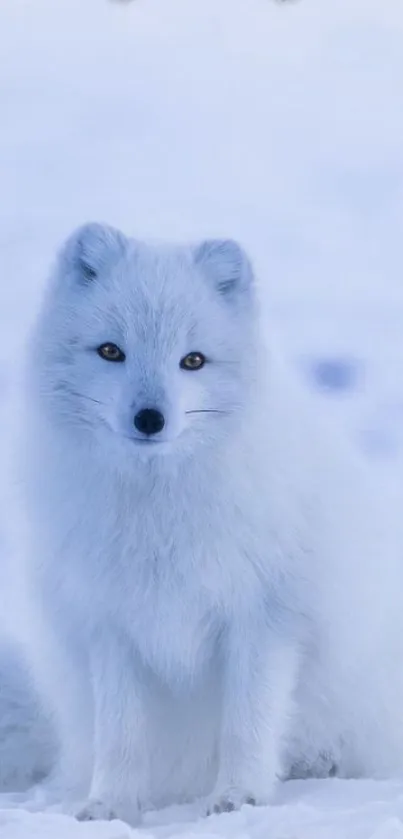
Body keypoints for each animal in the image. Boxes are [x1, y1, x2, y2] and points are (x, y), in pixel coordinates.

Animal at [16, 223, 403, 828]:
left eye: (193, 361)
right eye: (111, 351)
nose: (150, 418)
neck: (158, 513)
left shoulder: (263, 618)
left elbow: (248, 721)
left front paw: (239, 799)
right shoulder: (110, 624)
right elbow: (120, 733)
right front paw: (110, 806)